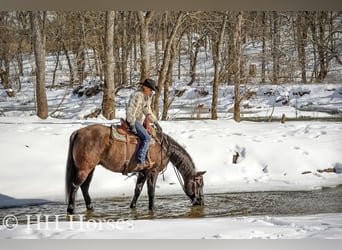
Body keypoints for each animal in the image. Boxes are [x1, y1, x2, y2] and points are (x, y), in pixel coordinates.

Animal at [66, 122, 207, 214]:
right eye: (199, 183)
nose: (201, 202)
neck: (164, 147)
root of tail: (78, 132)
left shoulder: (142, 172)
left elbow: (137, 190)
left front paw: (133, 206)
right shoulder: (153, 172)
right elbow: (151, 192)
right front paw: (152, 209)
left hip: (91, 168)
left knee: (84, 187)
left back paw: (90, 207)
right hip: (84, 169)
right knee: (75, 185)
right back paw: (71, 209)